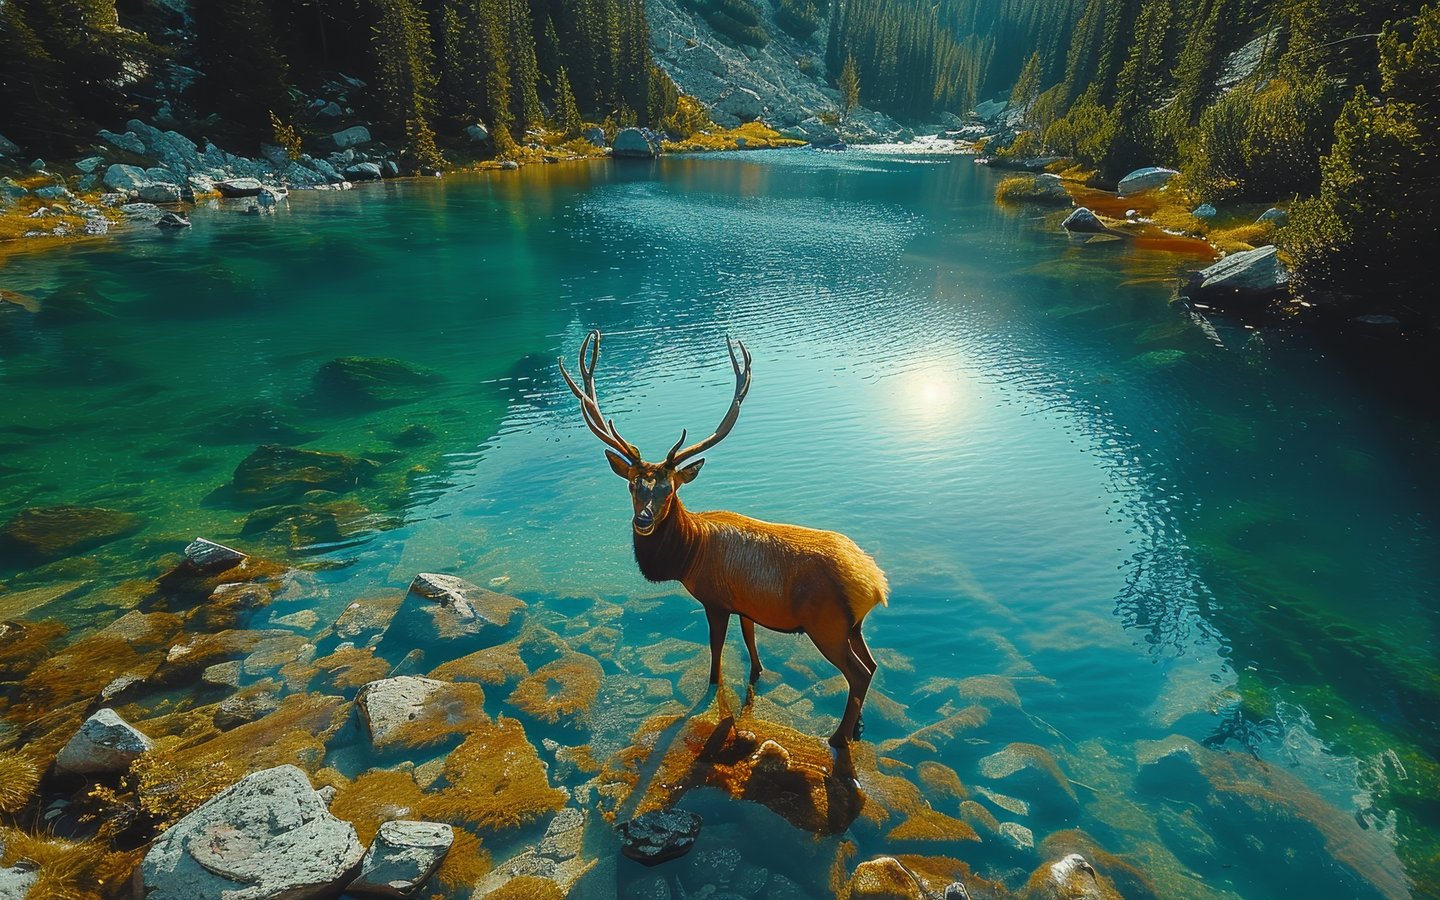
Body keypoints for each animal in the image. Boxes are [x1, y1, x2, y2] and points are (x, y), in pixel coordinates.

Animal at [559, 330, 889, 747]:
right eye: (633, 485)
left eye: (669, 489)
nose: (643, 520)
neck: (689, 554)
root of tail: (875, 584)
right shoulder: (746, 605)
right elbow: (751, 646)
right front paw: (757, 673)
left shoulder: (715, 599)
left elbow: (716, 652)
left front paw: (713, 687)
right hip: (852, 626)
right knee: (872, 664)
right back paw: (855, 725)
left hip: (825, 624)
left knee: (858, 673)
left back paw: (838, 736)